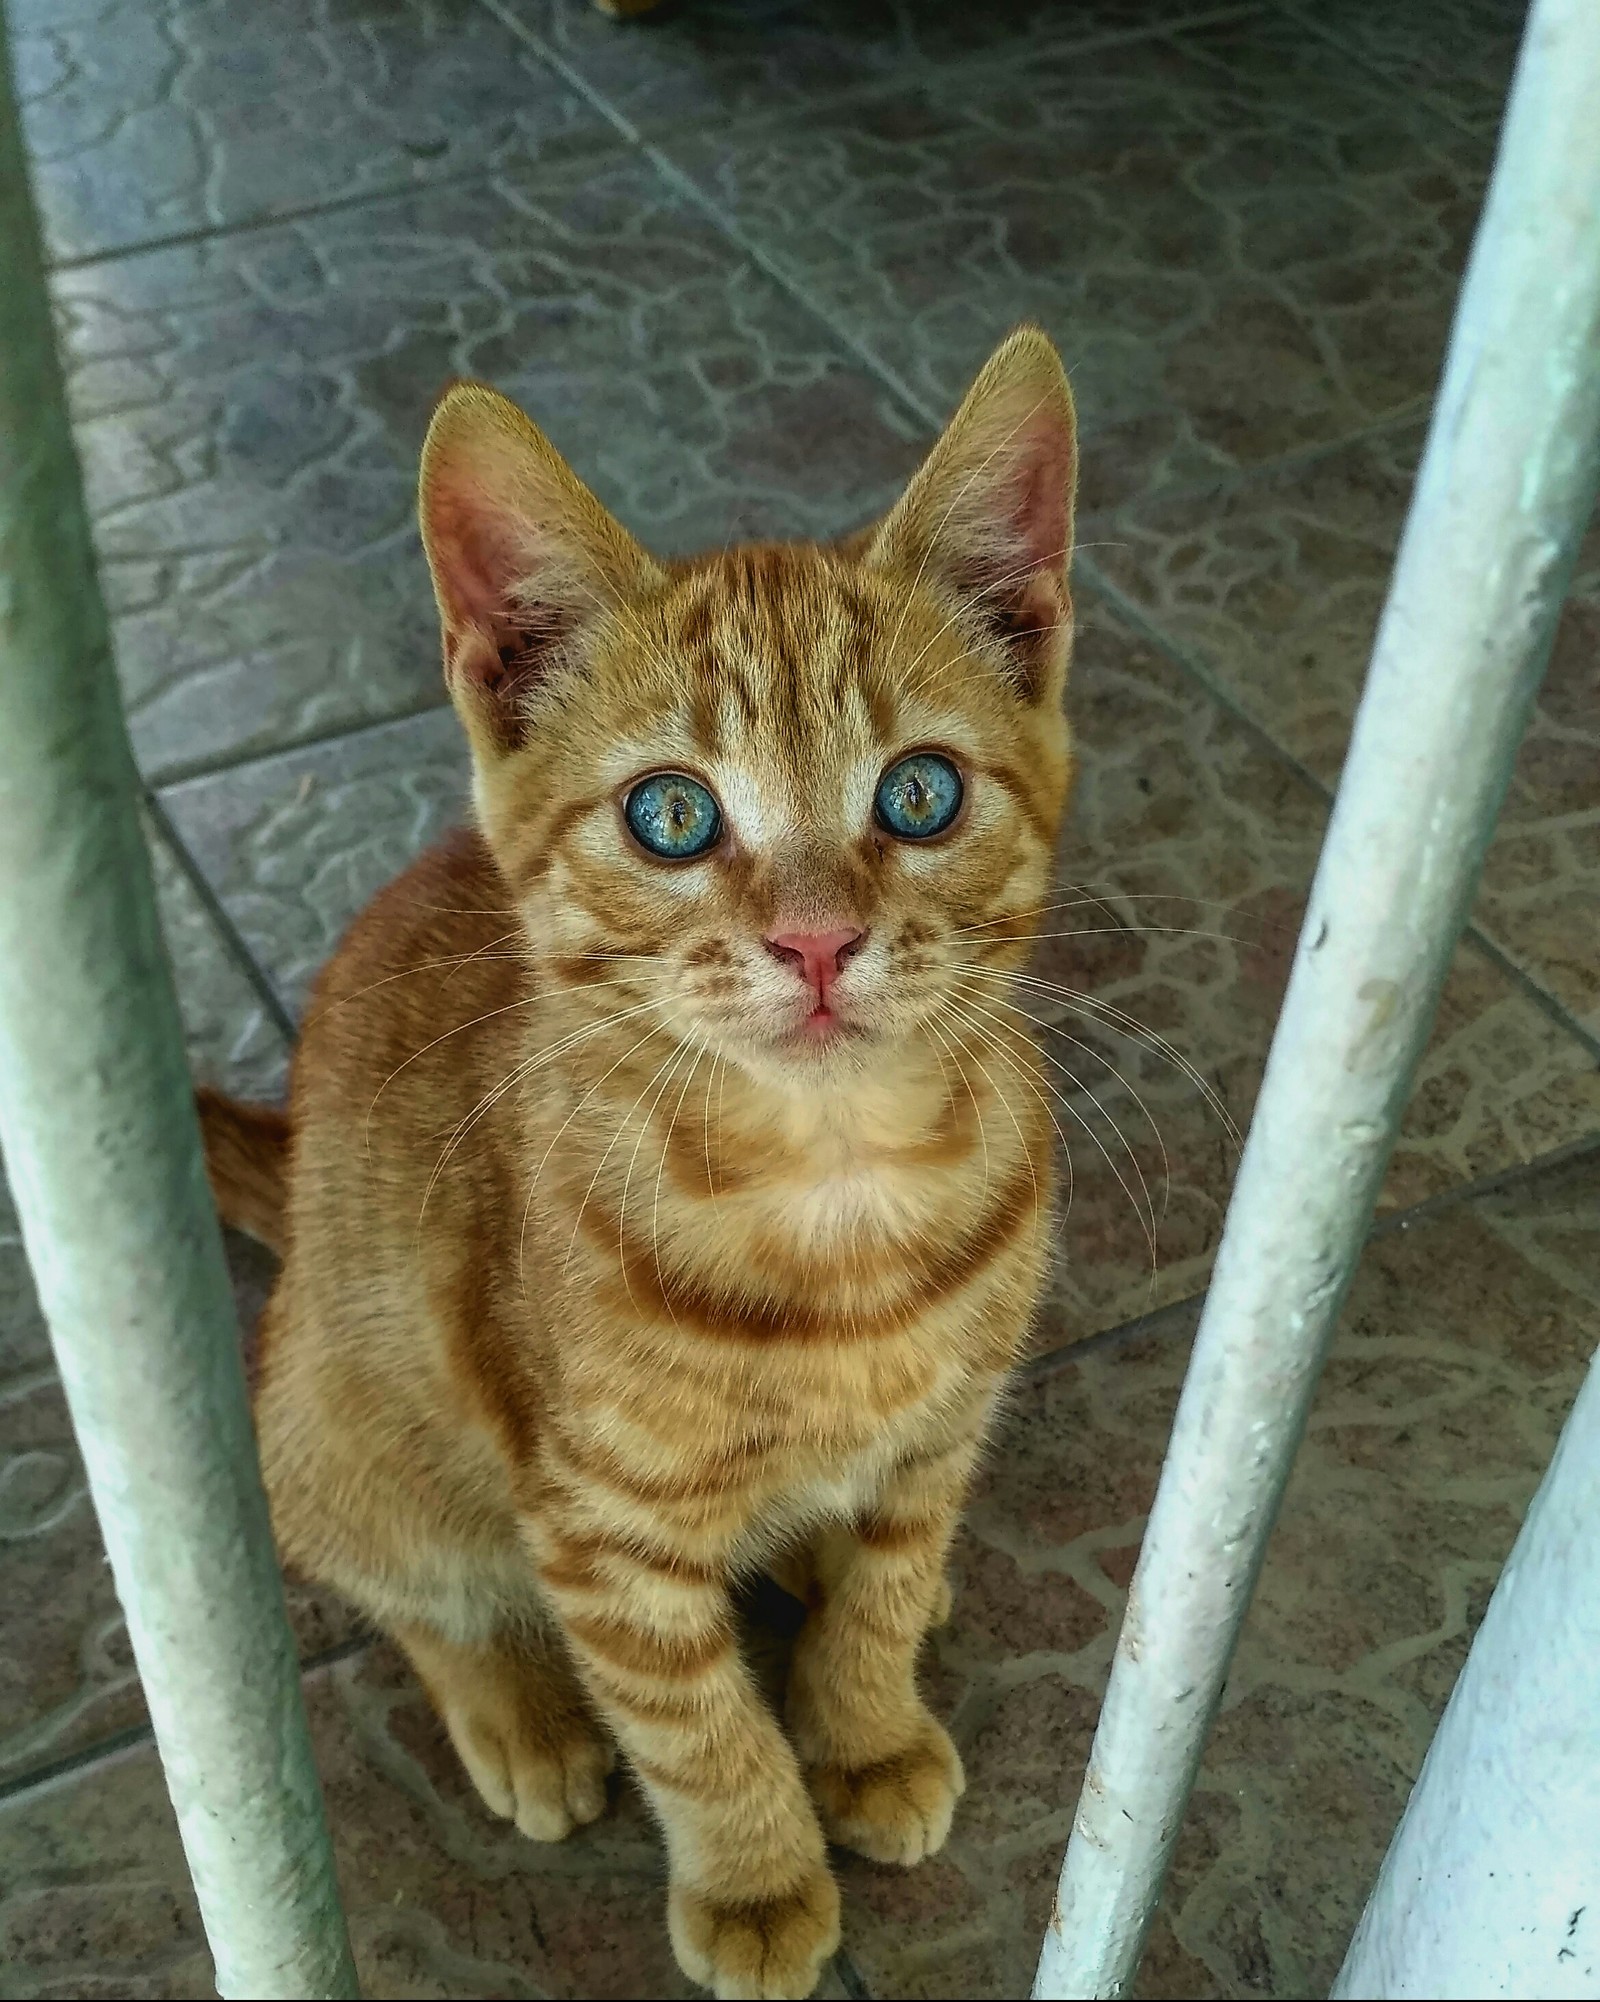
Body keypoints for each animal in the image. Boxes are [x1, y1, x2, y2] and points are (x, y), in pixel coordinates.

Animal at [200, 320, 1073, 1993]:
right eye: (671, 814)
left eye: (920, 793)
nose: (818, 939)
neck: (834, 1184)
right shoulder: (598, 1524)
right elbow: (691, 1720)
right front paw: (756, 1877)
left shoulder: (944, 1429)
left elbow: (889, 1576)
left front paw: (865, 1722)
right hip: (345, 1418)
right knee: (404, 1578)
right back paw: (518, 1709)